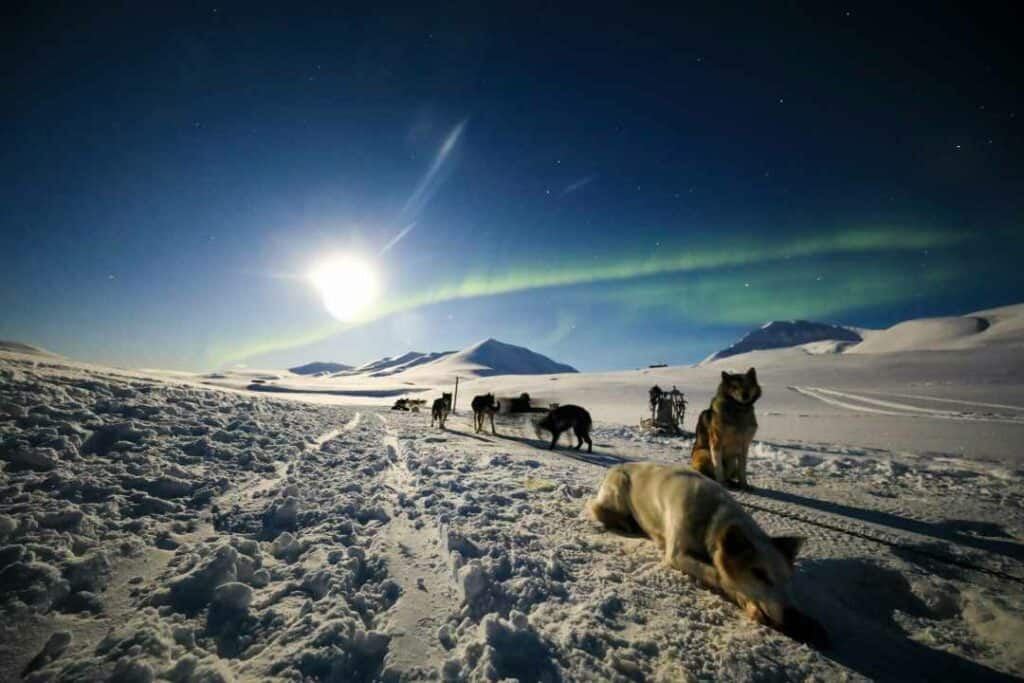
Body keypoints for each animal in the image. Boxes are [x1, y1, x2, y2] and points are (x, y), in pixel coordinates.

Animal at [589, 458, 827, 647]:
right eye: (759, 574)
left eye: (787, 579)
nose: (793, 617)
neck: (711, 515)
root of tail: (617, 466)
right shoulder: (678, 555)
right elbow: (719, 575)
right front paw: (747, 602)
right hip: (619, 490)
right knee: (598, 509)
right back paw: (626, 522)